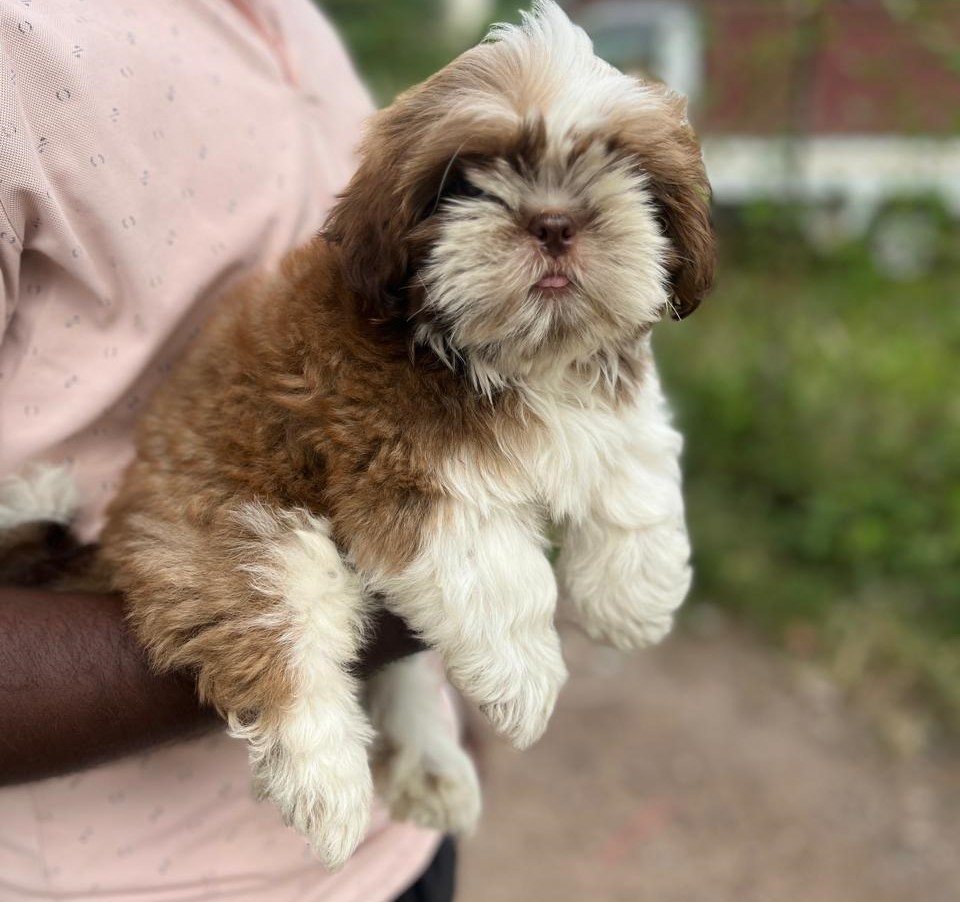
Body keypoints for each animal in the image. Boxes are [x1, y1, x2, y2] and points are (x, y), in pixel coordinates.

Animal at [0, 1, 712, 876]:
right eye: (470, 179)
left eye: (620, 166)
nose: (553, 223)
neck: (509, 356)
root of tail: (120, 530)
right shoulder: (401, 469)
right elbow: (493, 568)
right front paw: (525, 677)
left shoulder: (600, 401)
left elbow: (634, 458)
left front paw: (635, 596)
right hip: (229, 529)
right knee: (280, 623)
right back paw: (328, 786)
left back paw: (431, 766)